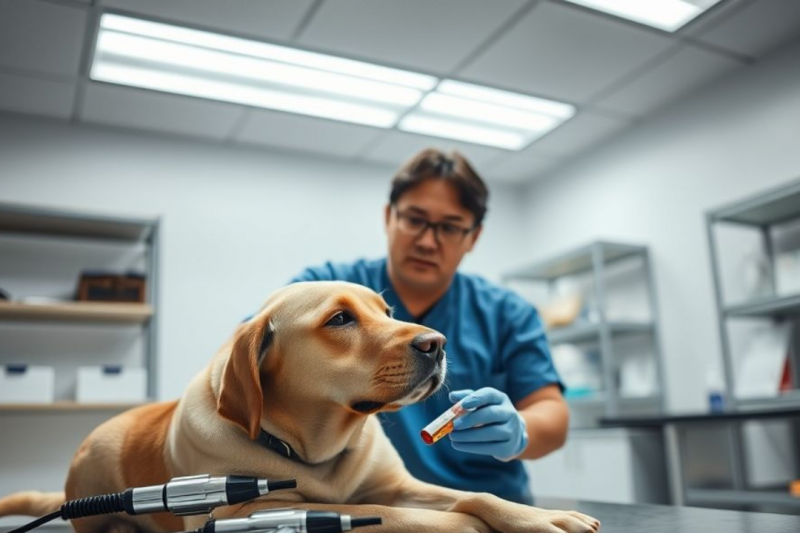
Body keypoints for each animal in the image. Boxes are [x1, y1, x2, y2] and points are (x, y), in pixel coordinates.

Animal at [0, 280, 600, 528]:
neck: (317, 450)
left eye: (386, 310)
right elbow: (406, 515)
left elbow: (475, 494)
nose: (438, 343)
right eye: (339, 319)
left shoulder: (397, 484)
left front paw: (540, 516)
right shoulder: (240, 510)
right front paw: (464, 525)